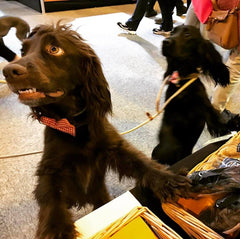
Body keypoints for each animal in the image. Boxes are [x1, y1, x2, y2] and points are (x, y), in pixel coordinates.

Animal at [2, 22, 190, 239]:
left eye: (54, 49)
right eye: (23, 51)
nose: (8, 71)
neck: (74, 125)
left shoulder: (114, 146)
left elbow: (142, 162)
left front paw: (169, 180)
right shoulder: (50, 167)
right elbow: (50, 195)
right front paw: (57, 229)